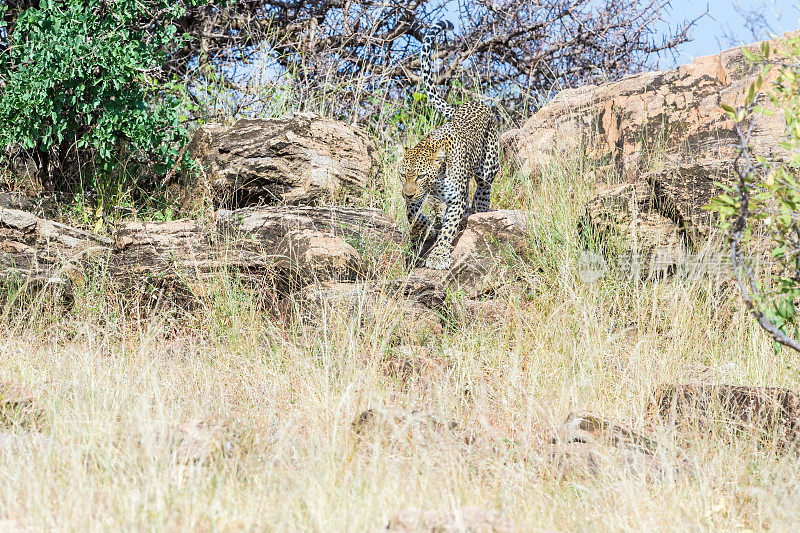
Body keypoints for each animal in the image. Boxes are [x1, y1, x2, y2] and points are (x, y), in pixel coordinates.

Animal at [404, 20, 496, 270]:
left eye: (420, 176)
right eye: (403, 175)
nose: (407, 194)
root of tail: (466, 104)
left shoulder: (454, 200)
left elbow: (448, 230)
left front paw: (438, 255)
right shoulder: (417, 197)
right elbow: (413, 214)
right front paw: (424, 228)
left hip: (489, 164)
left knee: (483, 186)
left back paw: (480, 207)